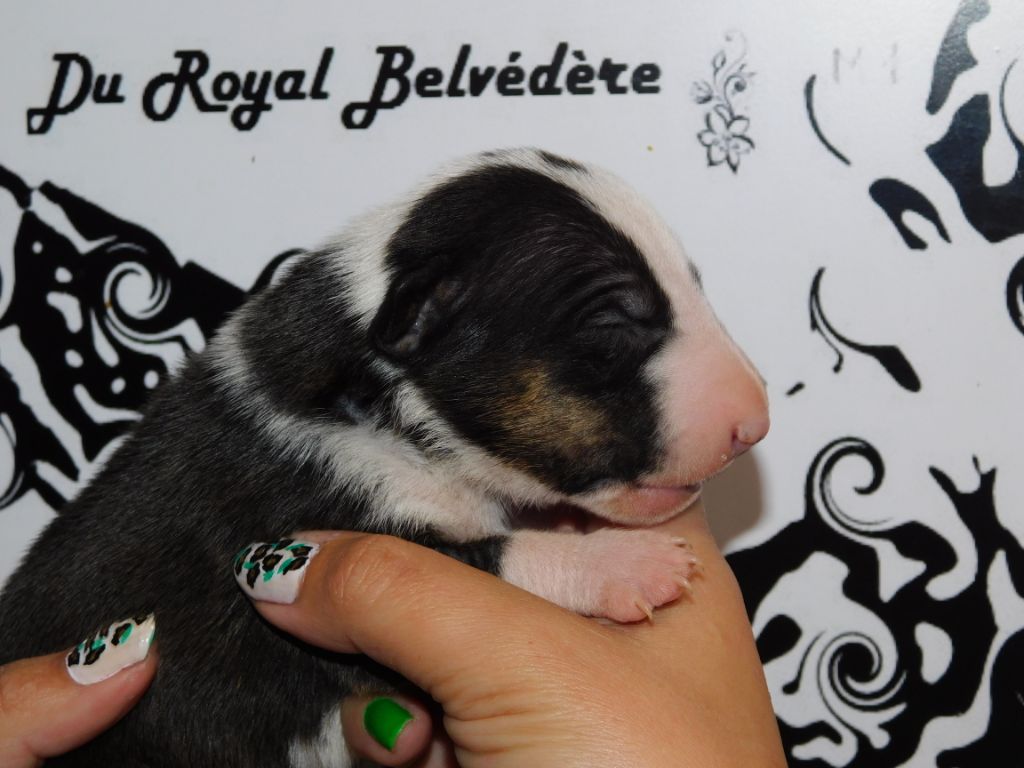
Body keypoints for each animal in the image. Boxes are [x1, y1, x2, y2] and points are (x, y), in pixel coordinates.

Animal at [0, 148, 769, 766]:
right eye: (615, 320)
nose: (755, 424)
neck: (383, 396)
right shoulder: (315, 501)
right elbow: (497, 556)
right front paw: (626, 565)